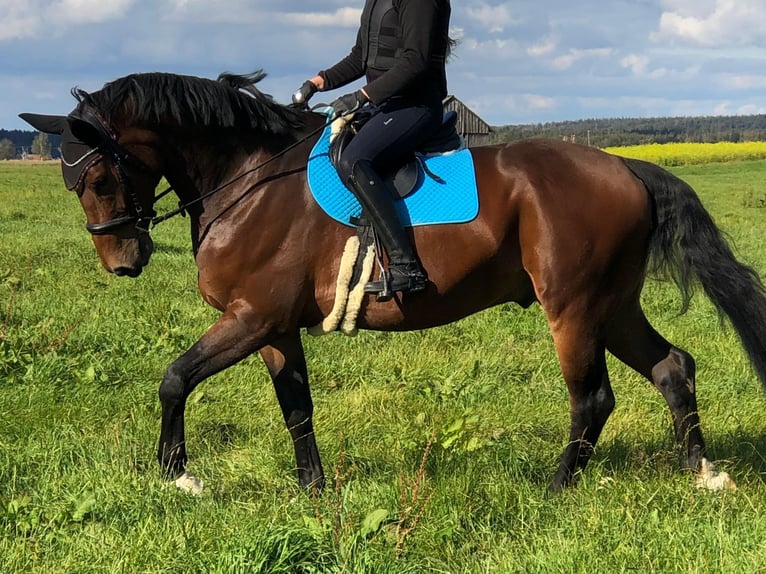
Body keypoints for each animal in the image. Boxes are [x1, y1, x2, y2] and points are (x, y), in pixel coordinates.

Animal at [20, 70, 766, 493]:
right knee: (673, 366)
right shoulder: (274, 326)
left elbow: (174, 378)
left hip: (575, 308)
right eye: (72, 180)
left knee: (593, 398)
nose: (122, 261)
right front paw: (314, 490)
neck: (249, 180)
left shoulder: (250, 317)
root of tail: (625, 166)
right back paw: (701, 474)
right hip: (612, 305)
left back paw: (557, 489)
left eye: (98, 174)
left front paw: (181, 476)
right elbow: (297, 407)